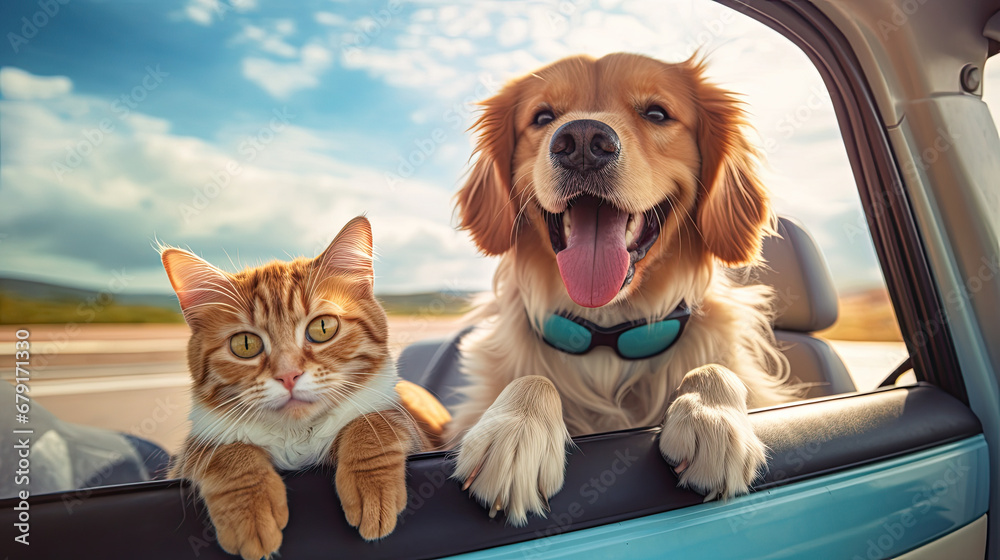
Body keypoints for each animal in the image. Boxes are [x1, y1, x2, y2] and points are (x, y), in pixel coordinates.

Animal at [163, 217, 426, 556]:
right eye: (245, 344)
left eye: (323, 328)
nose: (288, 376)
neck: (297, 435)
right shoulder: (190, 456)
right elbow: (227, 452)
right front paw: (248, 512)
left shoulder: (404, 425)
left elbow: (373, 425)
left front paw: (372, 487)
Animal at [444, 53, 796, 524]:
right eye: (543, 117)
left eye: (657, 113)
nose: (581, 142)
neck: (607, 331)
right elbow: (533, 375)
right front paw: (514, 429)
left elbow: (715, 366)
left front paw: (714, 419)